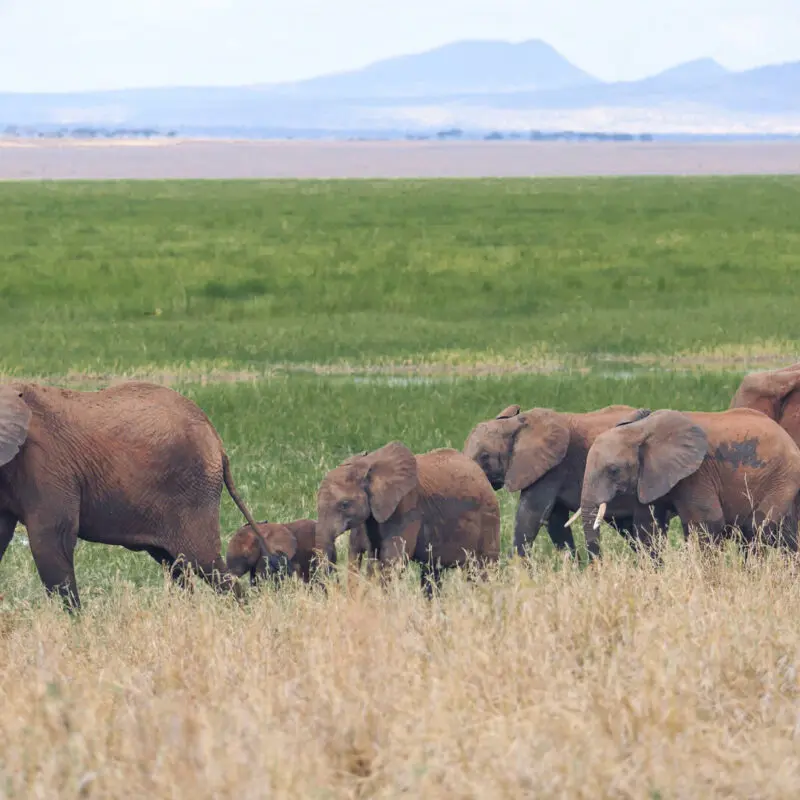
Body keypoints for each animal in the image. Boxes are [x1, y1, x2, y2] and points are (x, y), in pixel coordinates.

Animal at [0, 380, 261, 608]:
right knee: (174, 565)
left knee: (204, 562)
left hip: (194, 491)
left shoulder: (47, 465)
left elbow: (51, 539)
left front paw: (74, 624)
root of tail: (217, 440)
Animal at [315, 442, 500, 592]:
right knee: (432, 572)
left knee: (482, 569)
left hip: (489, 517)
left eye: (344, 504)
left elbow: (392, 561)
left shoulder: (407, 507)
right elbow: (369, 555)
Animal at [579, 407, 800, 558]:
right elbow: (648, 526)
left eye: (613, 471)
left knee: (756, 529)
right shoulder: (651, 476)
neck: (640, 429)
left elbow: (706, 523)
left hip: (783, 478)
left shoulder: (697, 473)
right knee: (785, 535)